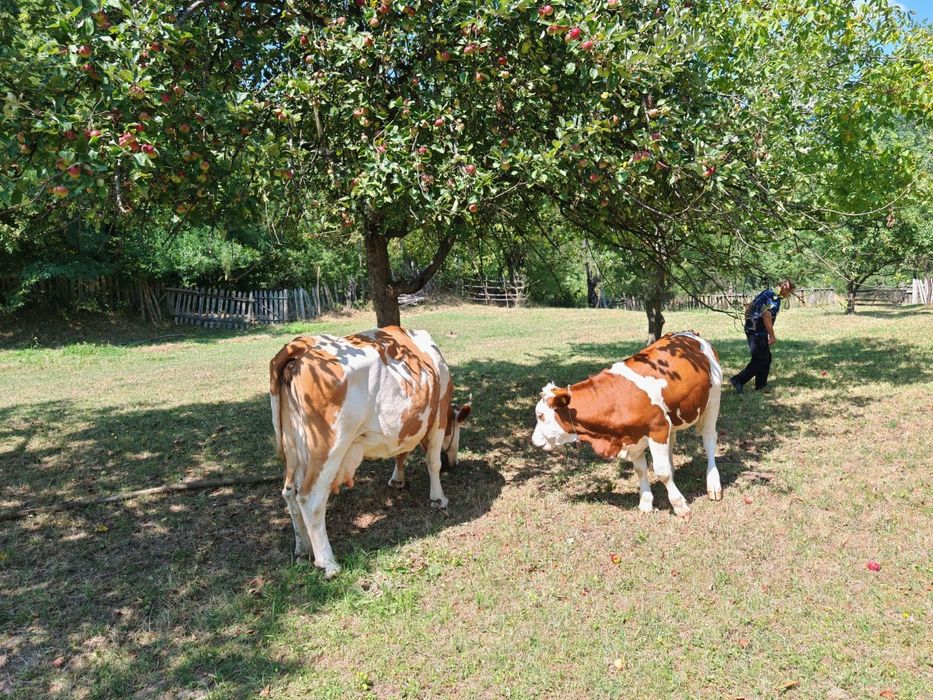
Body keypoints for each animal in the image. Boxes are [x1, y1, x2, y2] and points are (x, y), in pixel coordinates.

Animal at [270, 326, 471, 578]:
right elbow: (433, 461)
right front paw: (438, 498)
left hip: (293, 446)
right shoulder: (438, 417)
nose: (454, 462)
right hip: (328, 448)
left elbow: (401, 452)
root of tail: (303, 345)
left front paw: (397, 480)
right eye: (457, 429)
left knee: (289, 492)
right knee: (309, 498)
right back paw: (328, 563)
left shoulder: (404, 425)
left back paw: (303, 549)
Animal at [531, 331, 722, 517]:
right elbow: (640, 469)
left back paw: (713, 484)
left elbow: (662, 472)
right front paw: (645, 501)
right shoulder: (633, 437)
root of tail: (690, 334)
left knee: (709, 439)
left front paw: (679, 505)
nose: (534, 441)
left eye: (540, 415)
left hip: (713, 400)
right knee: (672, 444)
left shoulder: (658, 429)